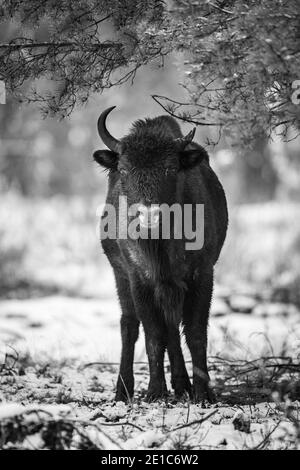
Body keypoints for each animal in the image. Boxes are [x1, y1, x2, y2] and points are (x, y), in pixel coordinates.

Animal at [94, 107, 227, 404]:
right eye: (124, 169)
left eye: (171, 168)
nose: (149, 216)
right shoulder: (139, 279)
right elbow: (153, 334)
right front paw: (155, 392)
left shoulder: (201, 275)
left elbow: (195, 333)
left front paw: (203, 393)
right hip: (120, 276)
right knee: (130, 325)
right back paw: (124, 391)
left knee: (172, 329)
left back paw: (182, 385)